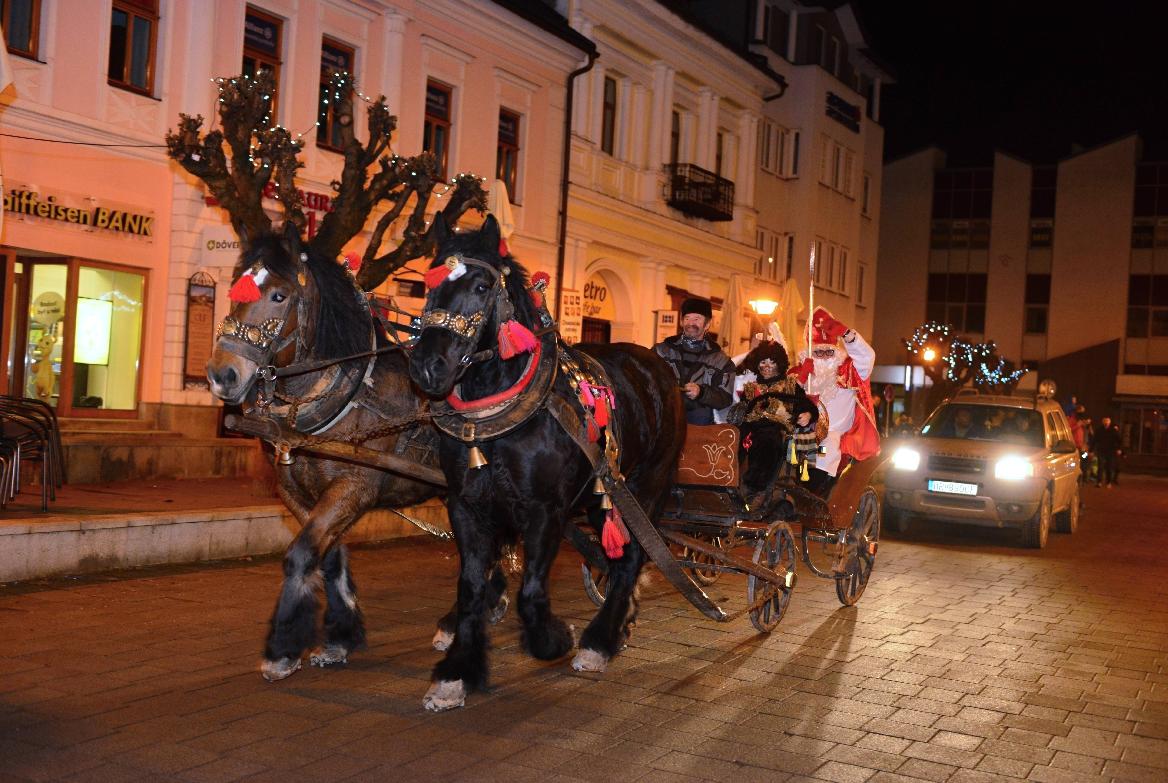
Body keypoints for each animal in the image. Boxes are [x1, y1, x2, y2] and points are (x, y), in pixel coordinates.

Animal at [206, 230, 506, 682]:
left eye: (278, 295)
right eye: (234, 288)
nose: (221, 375)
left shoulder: (354, 487)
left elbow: (300, 555)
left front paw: (282, 649)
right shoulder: (296, 491)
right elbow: (326, 556)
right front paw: (340, 636)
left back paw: (458, 622)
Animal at [408, 215, 682, 710]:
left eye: (481, 286)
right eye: (428, 285)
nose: (426, 367)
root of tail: (659, 367)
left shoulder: (544, 510)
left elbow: (532, 591)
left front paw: (553, 639)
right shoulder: (467, 505)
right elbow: (472, 585)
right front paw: (456, 671)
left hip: (646, 487)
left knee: (632, 555)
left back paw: (599, 640)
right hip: (603, 496)